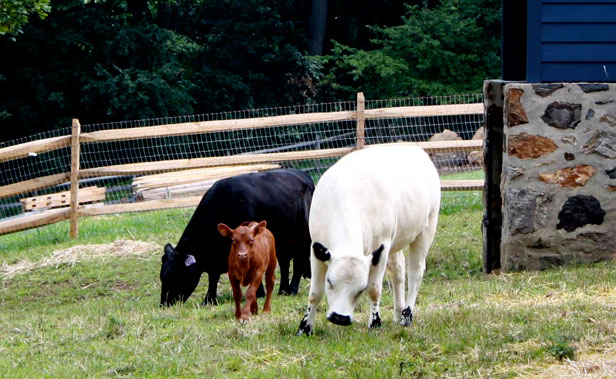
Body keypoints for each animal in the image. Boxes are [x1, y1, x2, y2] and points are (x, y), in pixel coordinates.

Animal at [160, 171, 312, 308]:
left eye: (175, 277)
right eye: (162, 277)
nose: (164, 304)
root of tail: (303, 176)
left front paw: (258, 293)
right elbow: (213, 277)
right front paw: (209, 300)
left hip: (303, 238)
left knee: (298, 263)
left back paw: (292, 290)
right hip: (282, 242)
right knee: (285, 263)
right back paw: (282, 290)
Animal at [296, 145, 440, 336]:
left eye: (360, 289)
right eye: (330, 282)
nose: (339, 318)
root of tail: (413, 147)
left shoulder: (381, 247)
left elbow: (374, 289)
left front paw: (375, 322)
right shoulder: (316, 248)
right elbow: (315, 293)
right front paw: (305, 327)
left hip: (426, 228)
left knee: (416, 271)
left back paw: (407, 315)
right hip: (396, 241)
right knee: (398, 270)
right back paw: (398, 312)